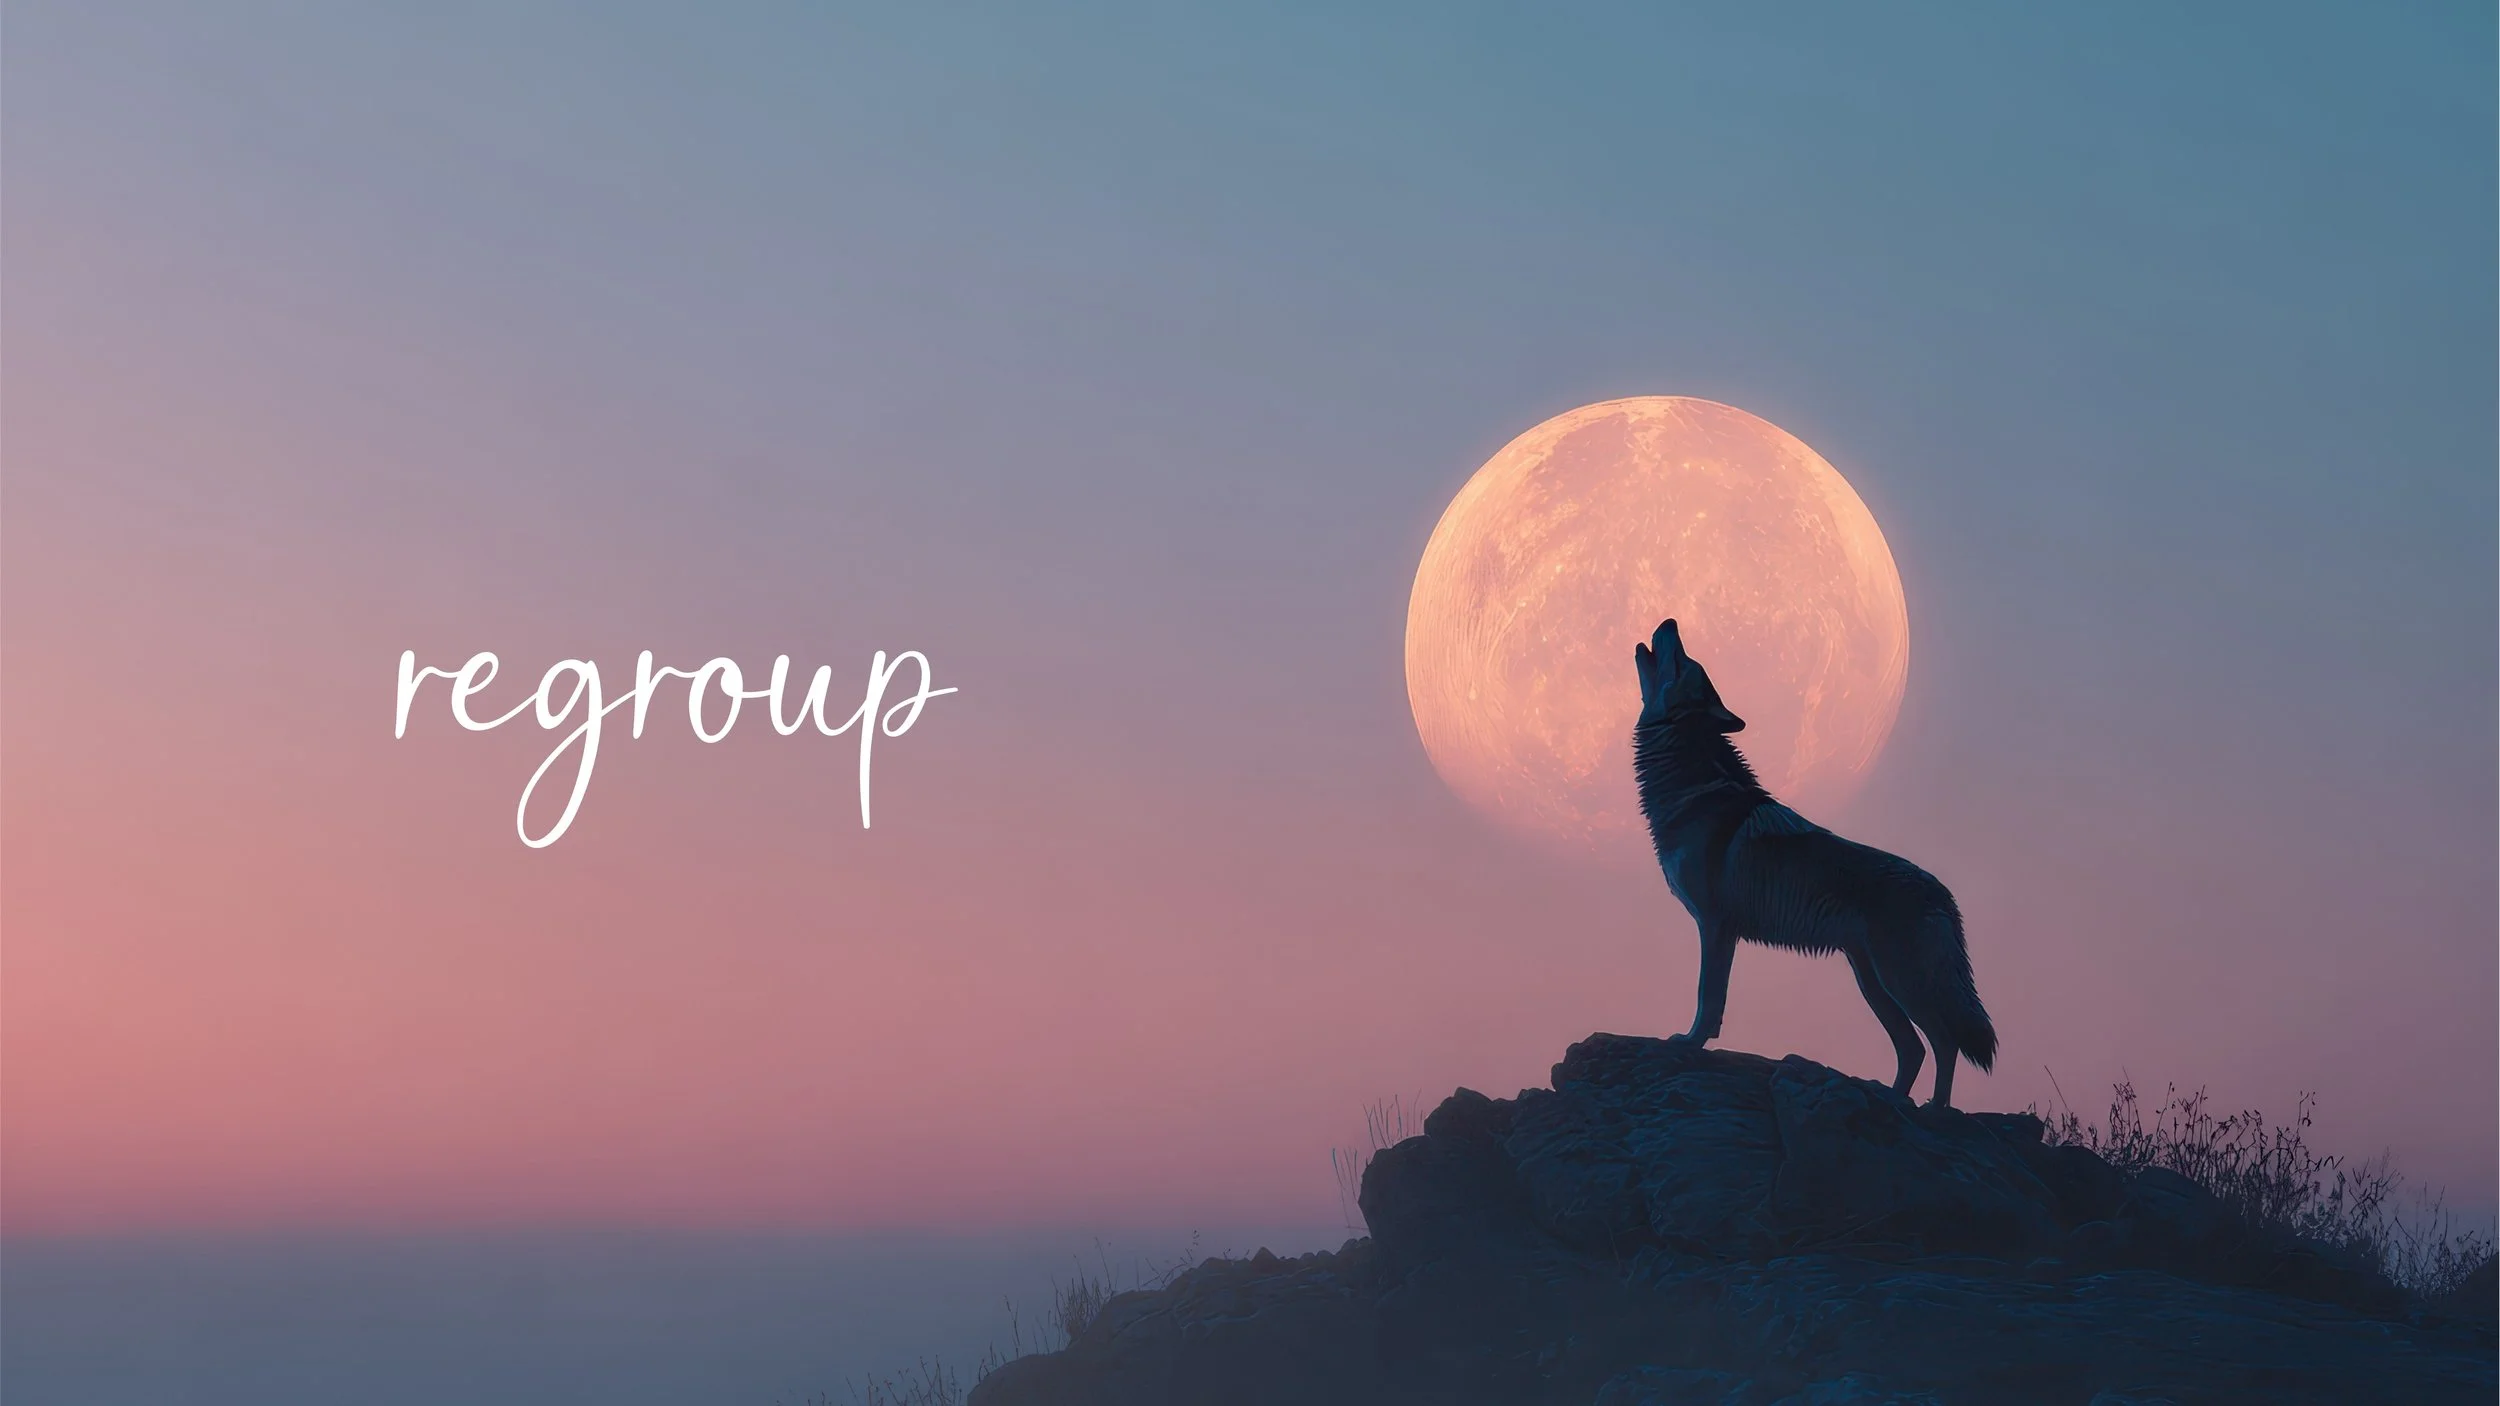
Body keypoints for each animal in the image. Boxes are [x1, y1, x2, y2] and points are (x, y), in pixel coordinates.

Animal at [1632, 618, 1995, 1107]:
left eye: (1686, 659)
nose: (1670, 622)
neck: (1694, 786)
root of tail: (1943, 894)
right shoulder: (1719, 928)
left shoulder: (1715, 925)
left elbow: (1707, 997)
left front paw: (1690, 1043)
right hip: (1872, 981)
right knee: (1913, 1048)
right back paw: (1891, 1098)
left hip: (1901, 981)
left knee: (1945, 1041)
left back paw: (1934, 1109)